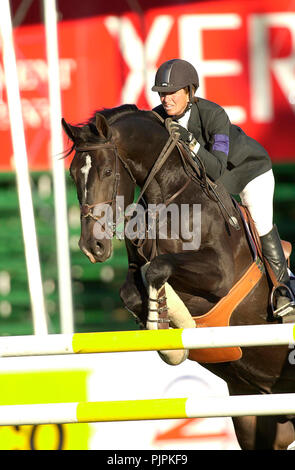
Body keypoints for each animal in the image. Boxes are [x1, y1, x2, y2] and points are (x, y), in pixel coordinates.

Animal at [61, 104, 294, 450]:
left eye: (107, 172)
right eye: (74, 174)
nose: (93, 247)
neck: (167, 199)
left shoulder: (219, 274)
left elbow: (158, 267)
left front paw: (168, 326)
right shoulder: (137, 268)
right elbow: (133, 288)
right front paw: (166, 328)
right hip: (257, 413)